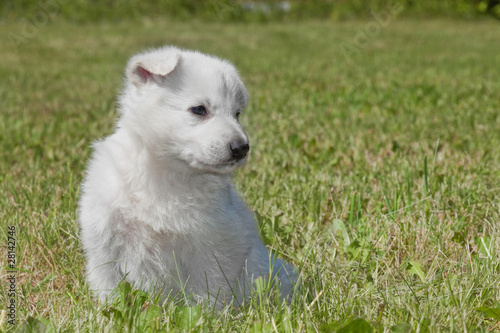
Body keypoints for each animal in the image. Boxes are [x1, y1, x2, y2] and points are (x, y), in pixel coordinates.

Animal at [78, 45, 296, 304]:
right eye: (199, 110)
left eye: (237, 114)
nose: (242, 148)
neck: (167, 173)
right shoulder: (103, 243)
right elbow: (108, 287)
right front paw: (107, 310)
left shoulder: (212, 248)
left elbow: (208, 293)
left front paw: (204, 313)